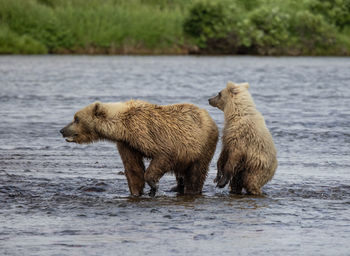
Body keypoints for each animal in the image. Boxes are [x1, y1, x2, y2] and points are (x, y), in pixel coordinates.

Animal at [60, 100, 219, 196]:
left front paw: (153, 186)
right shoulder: (127, 144)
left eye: (76, 119)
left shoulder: (147, 133)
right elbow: (133, 168)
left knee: (197, 172)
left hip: (202, 145)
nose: (62, 130)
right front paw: (136, 191)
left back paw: (192, 190)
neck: (123, 127)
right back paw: (177, 187)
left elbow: (163, 154)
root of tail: (208, 115)